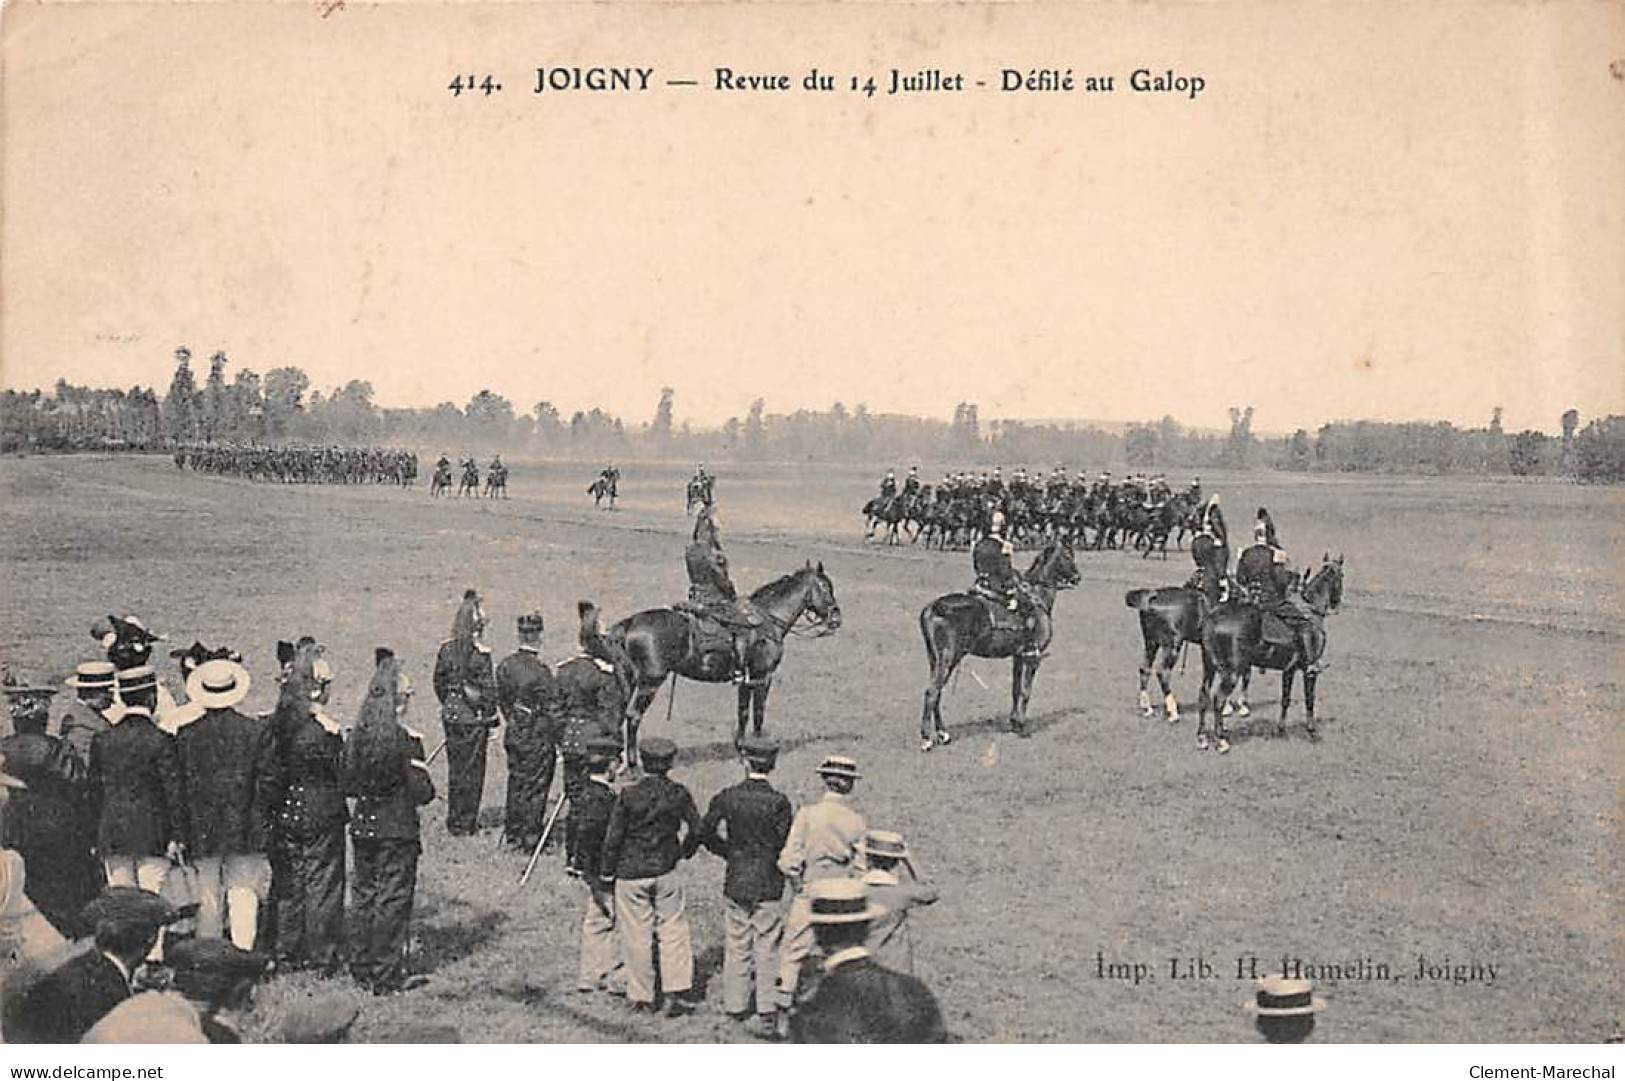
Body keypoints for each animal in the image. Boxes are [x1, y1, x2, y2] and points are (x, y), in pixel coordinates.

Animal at [607, 559, 845, 764]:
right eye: (825, 587)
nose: (836, 618)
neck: (768, 621)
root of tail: (630, 623)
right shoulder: (763, 677)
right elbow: (758, 713)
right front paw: (758, 748)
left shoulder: (746, 681)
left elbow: (743, 713)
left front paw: (742, 749)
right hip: (650, 683)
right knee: (633, 717)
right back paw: (633, 766)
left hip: (630, 681)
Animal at [916, 539, 1079, 751]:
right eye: (1067, 555)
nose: (1077, 577)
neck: (1037, 598)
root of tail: (931, 608)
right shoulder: (1033, 658)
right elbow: (1026, 691)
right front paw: (1021, 726)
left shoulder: (1018, 657)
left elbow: (1016, 690)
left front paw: (1014, 723)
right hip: (948, 658)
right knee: (932, 692)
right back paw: (927, 738)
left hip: (937, 660)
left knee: (937, 693)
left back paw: (943, 734)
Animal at [1196, 549, 1345, 751]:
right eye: (1342, 576)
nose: (1337, 603)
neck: (1311, 611)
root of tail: (1212, 619)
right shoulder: (1309, 673)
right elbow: (1310, 699)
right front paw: (1312, 732)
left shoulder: (1289, 670)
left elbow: (1285, 699)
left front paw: (1280, 730)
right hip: (1231, 673)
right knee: (1218, 700)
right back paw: (1221, 740)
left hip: (1210, 668)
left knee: (1203, 696)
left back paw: (1202, 737)